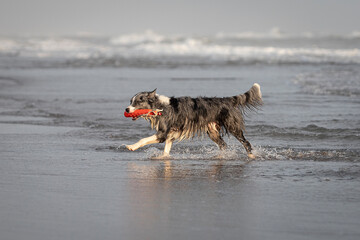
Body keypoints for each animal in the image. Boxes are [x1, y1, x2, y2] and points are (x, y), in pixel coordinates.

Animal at [125, 83, 262, 158]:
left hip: (232, 126)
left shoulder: (163, 134)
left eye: (137, 102)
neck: (160, 107)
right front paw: (163, 158)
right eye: (130, 101)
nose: (126, 109)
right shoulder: (170, 135)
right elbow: (166, 151)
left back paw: (251, 156)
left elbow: (143, 139)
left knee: (246, 143)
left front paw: (131, 146)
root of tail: (227, 100)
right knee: (223, 145)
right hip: (212, 131)